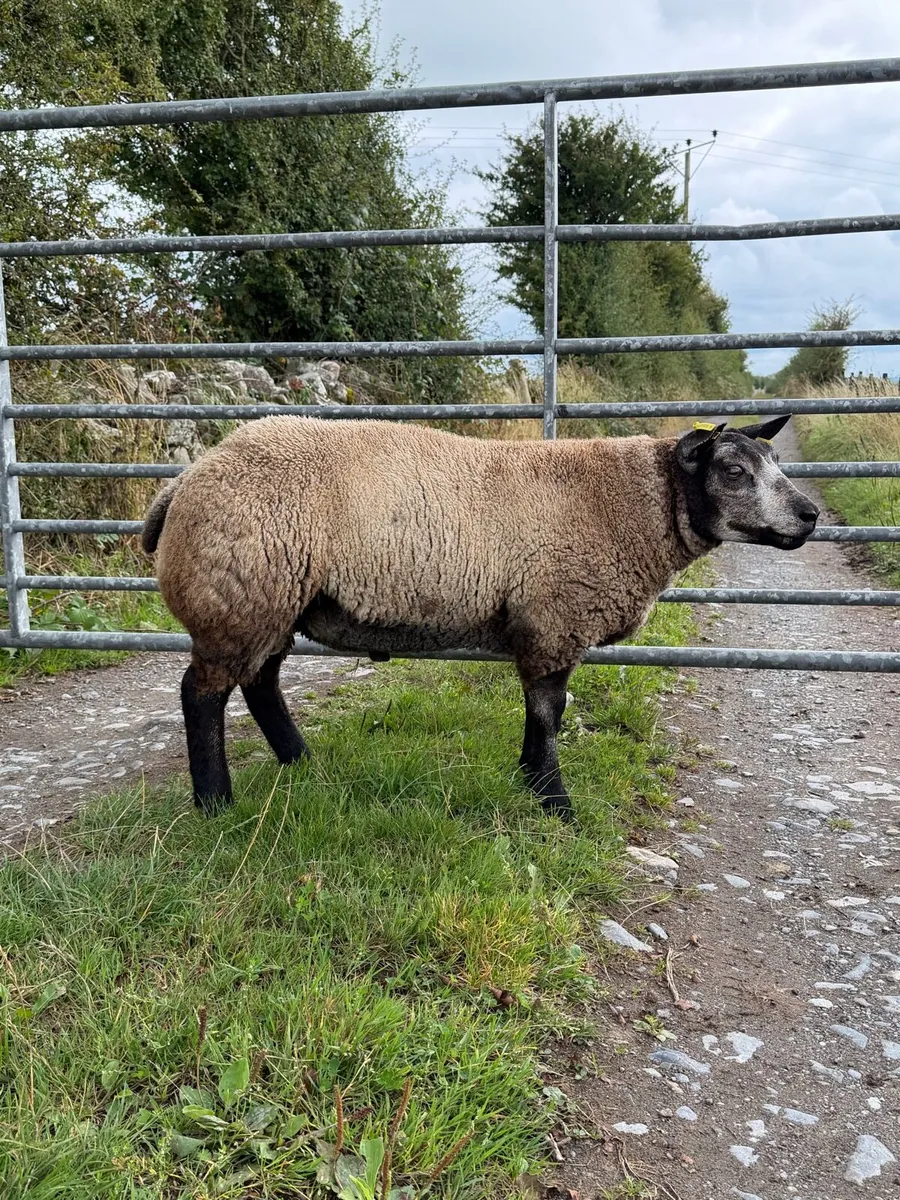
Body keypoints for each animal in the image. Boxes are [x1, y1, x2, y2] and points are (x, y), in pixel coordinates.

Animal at [141, 412, 818, 820]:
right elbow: (548, 713)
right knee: (202, 694)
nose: (810, 515)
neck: (640, 503)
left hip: (274, 601)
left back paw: (300, 760)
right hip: (239, 595)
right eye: (733, 470)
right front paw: (554, 801)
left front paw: (529, 780)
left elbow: (545, 713)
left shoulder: (547, 624)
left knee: (260, 682)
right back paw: (216, 803)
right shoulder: (554, 619)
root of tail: (186, 479)